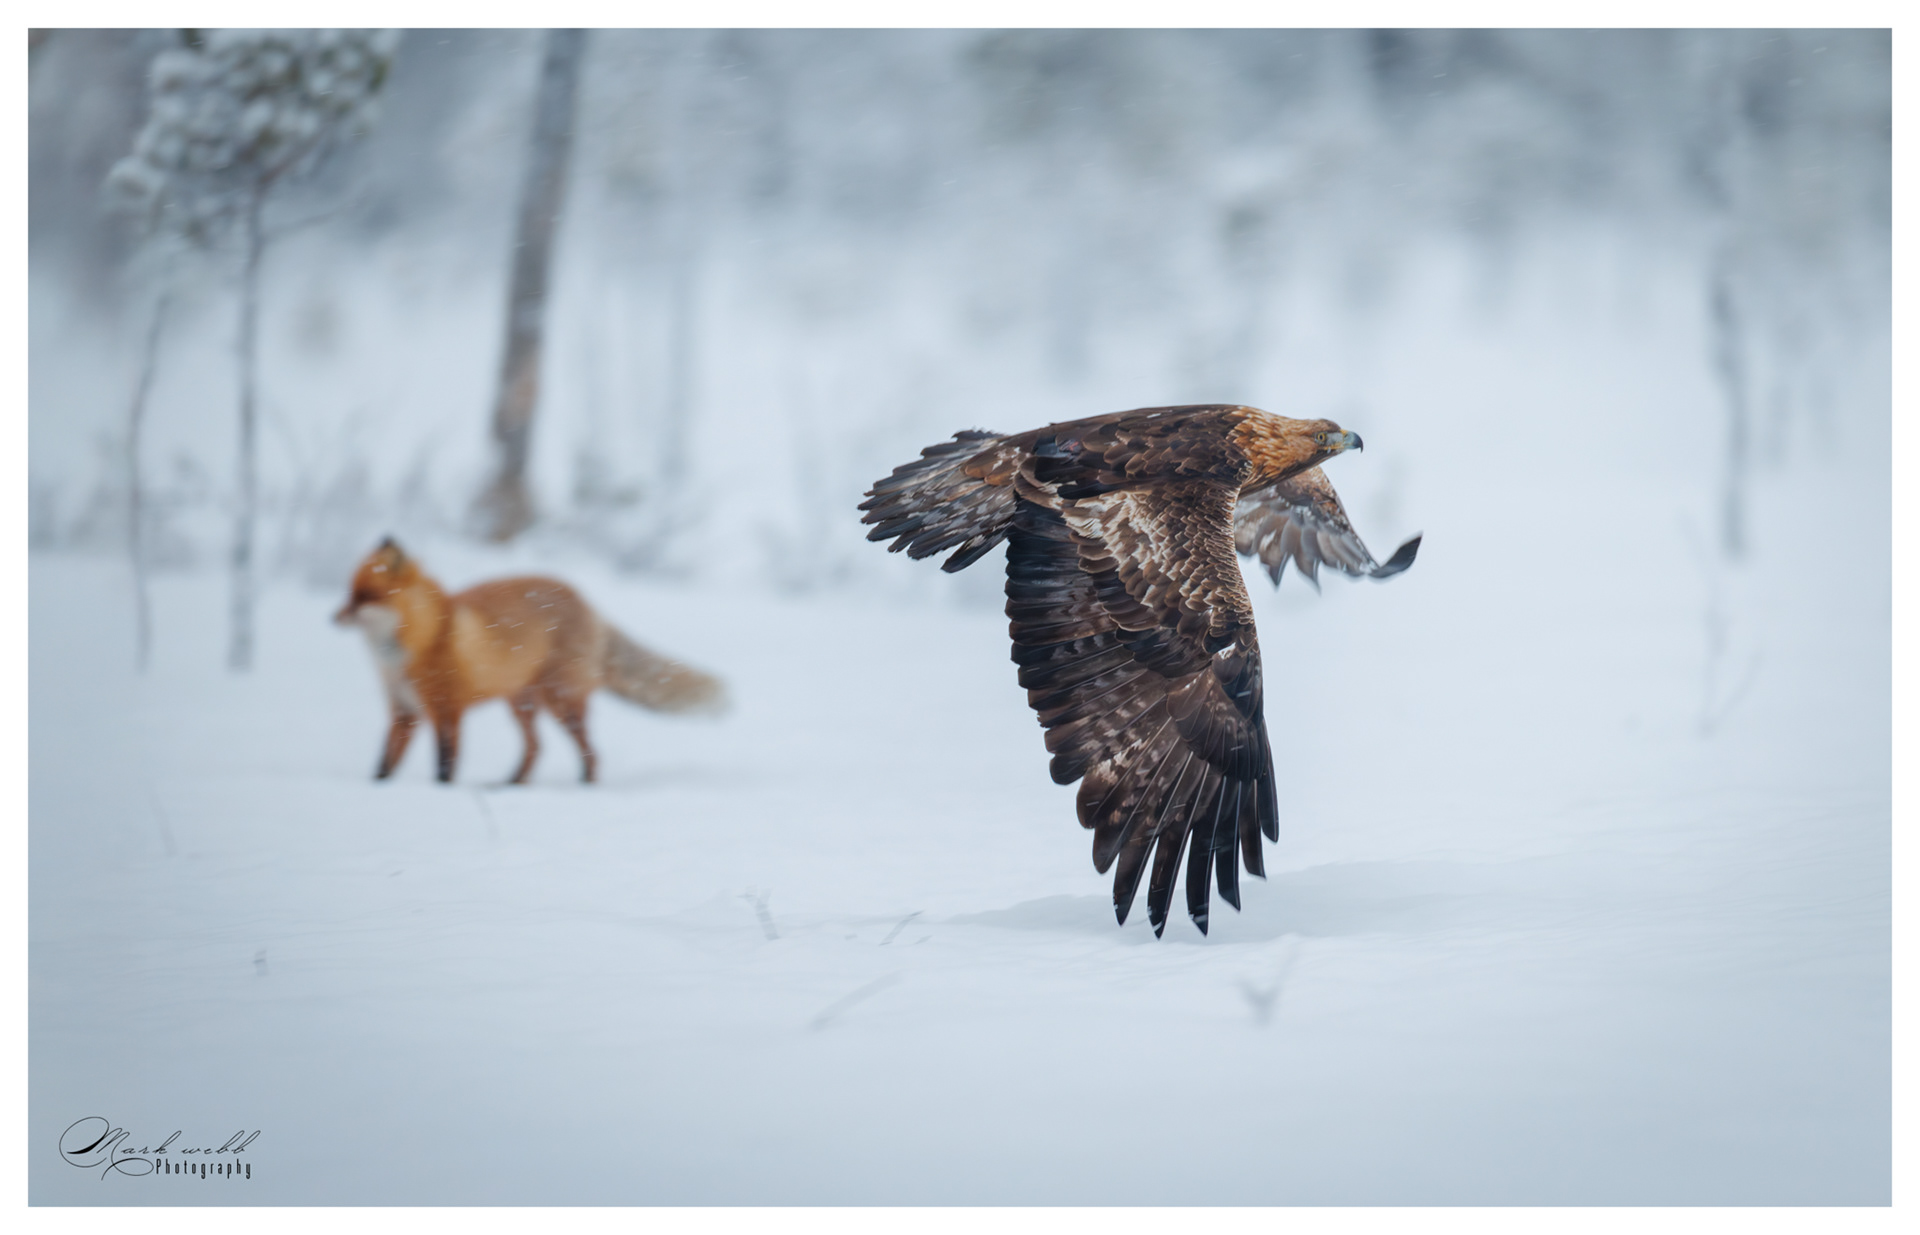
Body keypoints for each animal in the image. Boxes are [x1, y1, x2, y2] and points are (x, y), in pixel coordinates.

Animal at [333, 538, 726, 785]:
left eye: (365, 597)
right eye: (349, 594)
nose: (332, 618)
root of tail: (588, 603)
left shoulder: (446, 709)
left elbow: (444, 764)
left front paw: (441, 792)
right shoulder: (403, 712)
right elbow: (384, 764)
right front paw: (376, 788)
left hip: (560, 702)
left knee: (589, 753)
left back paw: (583, 786)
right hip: (521, 703)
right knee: (537, 748)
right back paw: (512, 784)